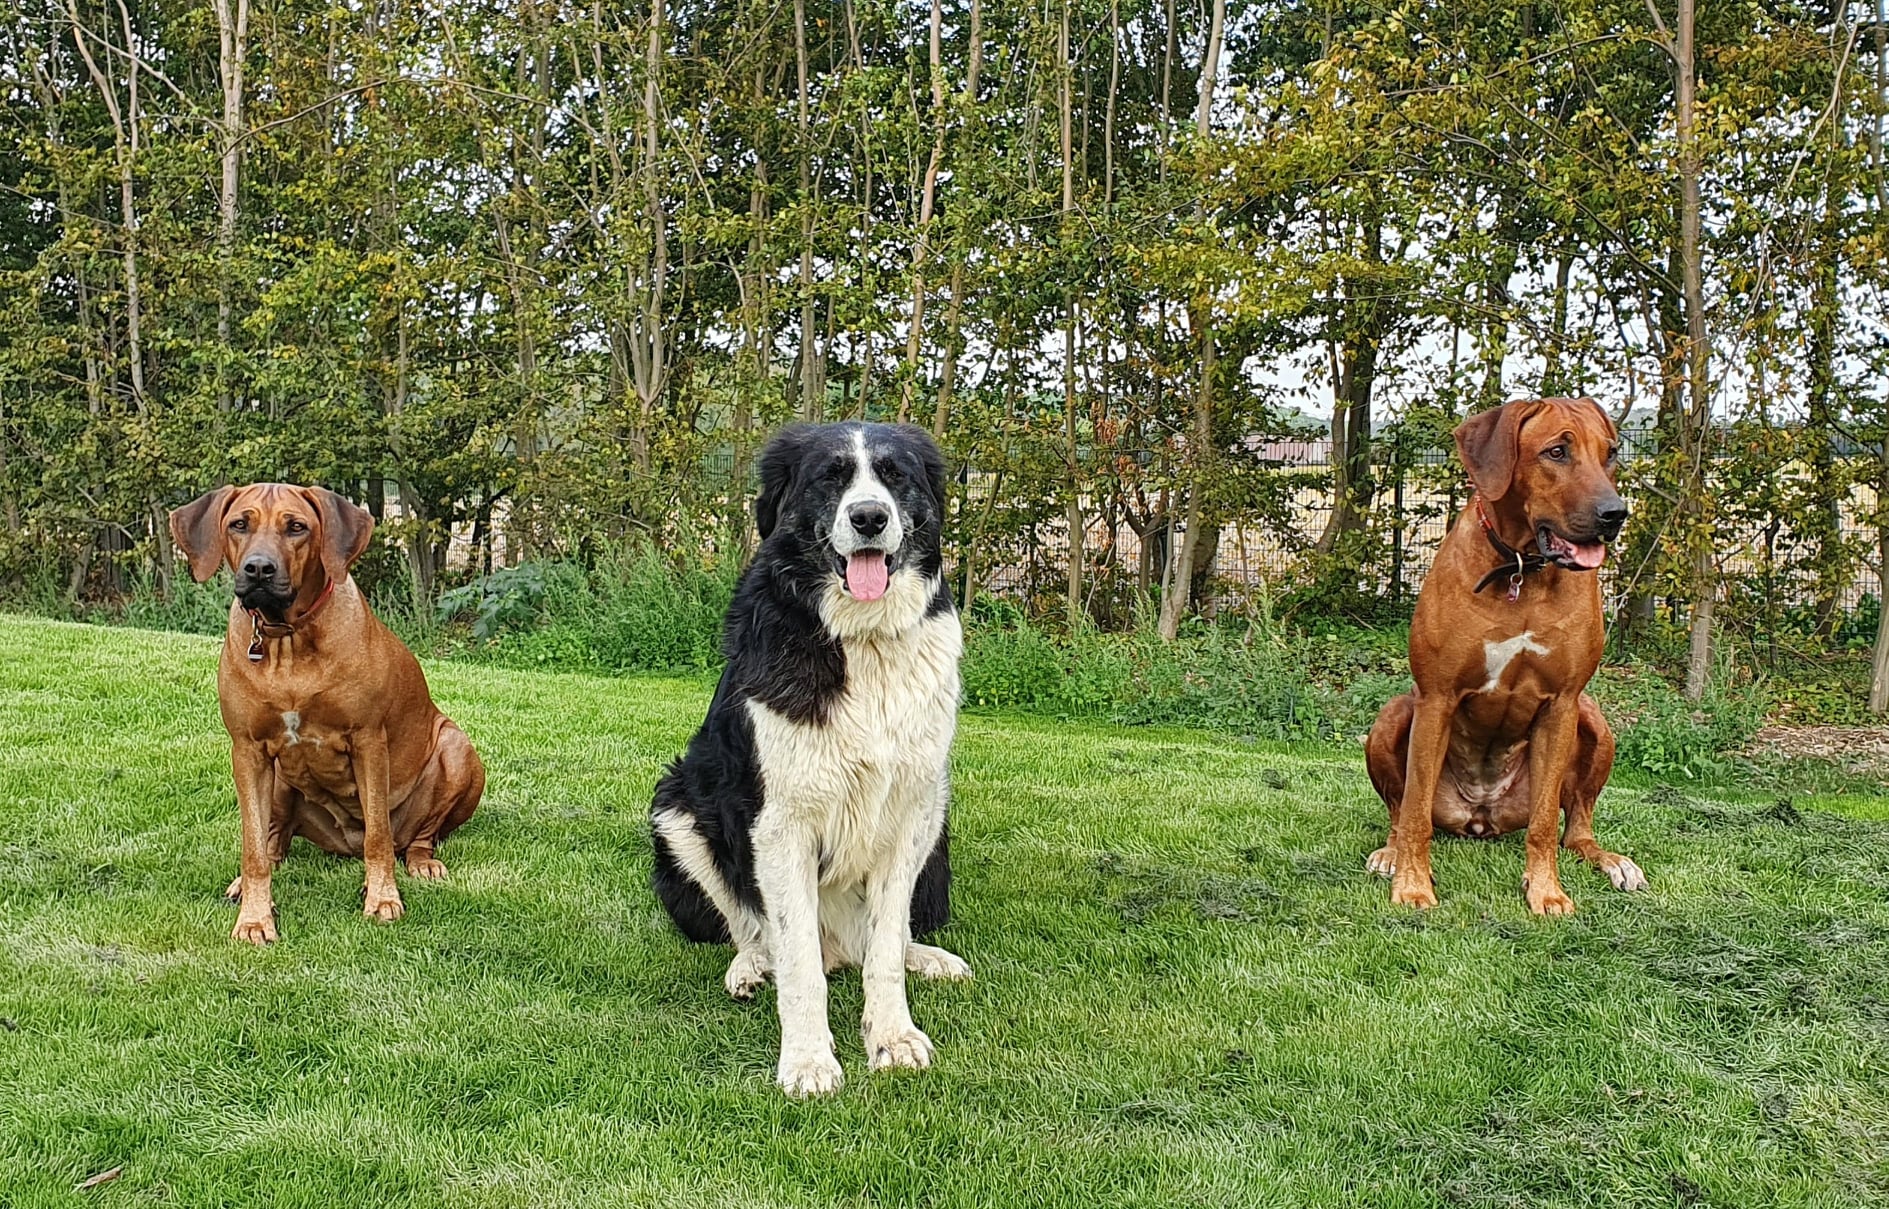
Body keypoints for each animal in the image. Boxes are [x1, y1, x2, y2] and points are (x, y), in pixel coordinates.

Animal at [170, 484, 484, 943]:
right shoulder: (247, 750)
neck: (287, 639)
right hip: (279, 778)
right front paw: (254, 918)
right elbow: (253, 848)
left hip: (456, 748)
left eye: (297, 527)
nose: (258, 569)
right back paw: (246, 883)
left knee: (415, 836)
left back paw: (421, 862)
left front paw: (382, 898)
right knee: (274, 840)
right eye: (239, 524)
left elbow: (378, 836)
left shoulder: (368, 740)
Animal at [650, 422, 970, 1097]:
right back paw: (749, 968)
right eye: (831, 476)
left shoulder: (909, 812)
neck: (862, 639)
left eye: (895, 475)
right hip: (678, 811)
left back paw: (927, 957)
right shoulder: (779, 824)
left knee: (884, 939)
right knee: (754, 929)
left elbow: (885, 949)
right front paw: (807, 1060)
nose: (870, 517)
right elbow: (798, 961)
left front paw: (892, 1035)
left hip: (936, 815)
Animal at [1364, 398, 1646, 914]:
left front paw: (1546, 891)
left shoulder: (1562, 704)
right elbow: (1414, 812)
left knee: (1575, 827)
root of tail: (1481, 816)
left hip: (1594, 720)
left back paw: (1611, 861)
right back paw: (1391, 854)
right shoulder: (1436, 698)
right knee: (1400, 810)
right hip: (1394, 714)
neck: (1521, 569)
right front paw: (1413, 886)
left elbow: (1544, 824)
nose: (1615, 514)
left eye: (1612, 453)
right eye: (1556, 451)